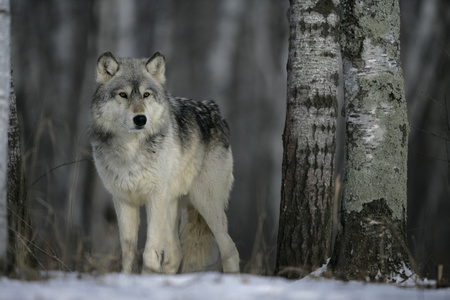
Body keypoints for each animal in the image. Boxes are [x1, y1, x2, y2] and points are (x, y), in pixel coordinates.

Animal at [89, 52, 241, 274]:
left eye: (146, 95)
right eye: (123, 95)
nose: (140, 119)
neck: (131, 150)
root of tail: (216, 111)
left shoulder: (155, 197)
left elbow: (149, 252)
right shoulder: (124, 200)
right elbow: (128, 253)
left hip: (204, 202)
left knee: (230, 248)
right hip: (171, 205)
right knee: (175, 253)